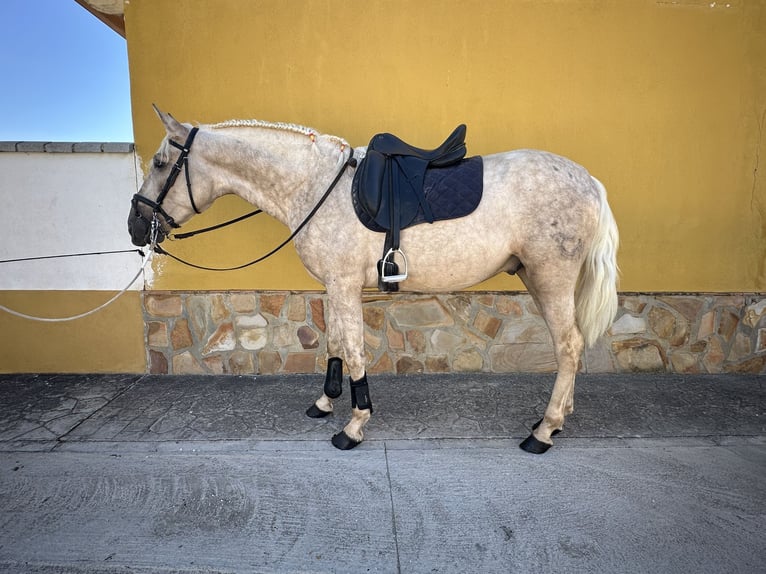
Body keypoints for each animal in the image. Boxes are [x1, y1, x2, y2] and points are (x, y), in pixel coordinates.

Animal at [129, 104, 620, 454]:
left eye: (160, 163)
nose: (135, 226)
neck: (315, 186)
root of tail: (591, 181)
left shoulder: (345, 284)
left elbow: (353, 349)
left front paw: (354, 423)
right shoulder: (333, 284)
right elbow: (333, 343)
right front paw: (325, 403)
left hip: (550, 277)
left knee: (568, 345)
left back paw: (544, 431)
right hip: (539, 278)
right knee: (571, 345)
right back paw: (555, 418)